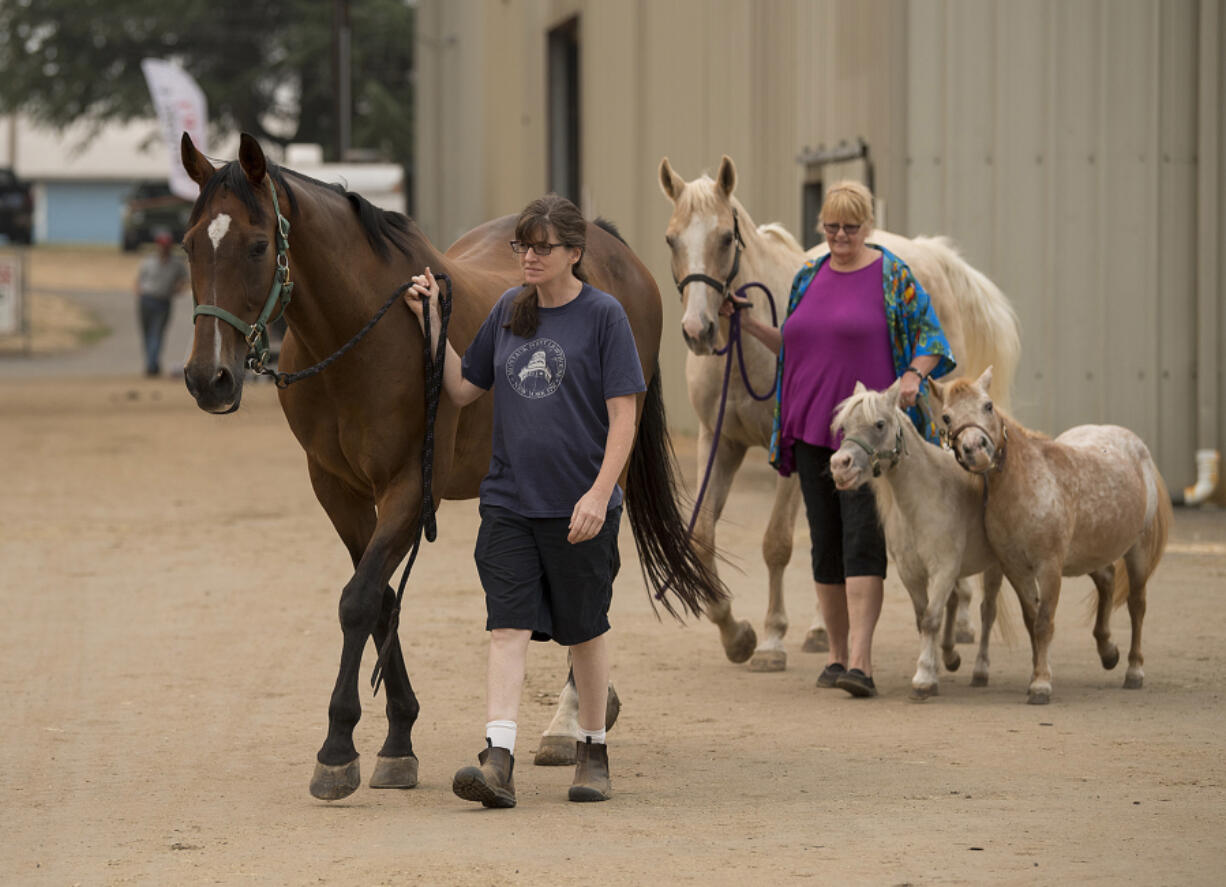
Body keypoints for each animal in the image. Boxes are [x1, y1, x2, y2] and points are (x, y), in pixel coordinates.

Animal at [177, 133, 720, 804]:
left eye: (256, 245)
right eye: (189, 244)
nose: (208, 378)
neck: (364, 332)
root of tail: (614, 251)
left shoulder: (412, 487)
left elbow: (358, 601)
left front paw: (337, 750)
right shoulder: (338, 491)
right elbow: (381, 600)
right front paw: (397, 741)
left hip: (602, 476)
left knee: (597, 583)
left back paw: (570, 723)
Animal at [828, 382, 1010, 701]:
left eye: (879, 424)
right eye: (845, 426)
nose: (840, 466)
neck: (924, 499)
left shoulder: (943, 569)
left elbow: (931, 619)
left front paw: (924, 678)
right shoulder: (911, 573)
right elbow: (923, 618)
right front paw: (933, 667)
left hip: (994, 567)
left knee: (987, 612)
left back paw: (980, 670)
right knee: (955, 601)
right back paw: (949, 655)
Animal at [931, 368, 1172, 706]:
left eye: (988, 405)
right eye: (947, 416)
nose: (976, 449)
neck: (1024, 483)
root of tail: (1138, 447)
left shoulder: (1049, 567)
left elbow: (1044, 622)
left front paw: (1041, 684)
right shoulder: (1015, 568)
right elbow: (1031, 620)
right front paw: (1037, 673)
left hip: (1138, 551)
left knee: (1137, 605)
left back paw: (1134, 670)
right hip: (1091, 552)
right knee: (1107, 581)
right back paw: (1107, 651)